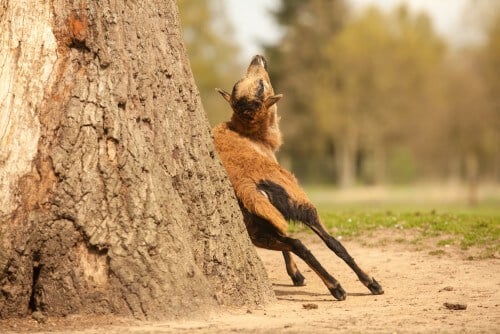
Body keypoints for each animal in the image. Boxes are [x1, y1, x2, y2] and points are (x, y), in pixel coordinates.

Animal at [212, 54, 382, 300]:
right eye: (261, 86)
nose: (257, 57)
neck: (254, 137)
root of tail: (246, 185)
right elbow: (331, 244)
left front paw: (295, 275)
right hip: (297, 198)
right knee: (327, 242)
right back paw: (355, 285)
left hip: (255, 225)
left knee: (293, 243)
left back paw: (331, 284)